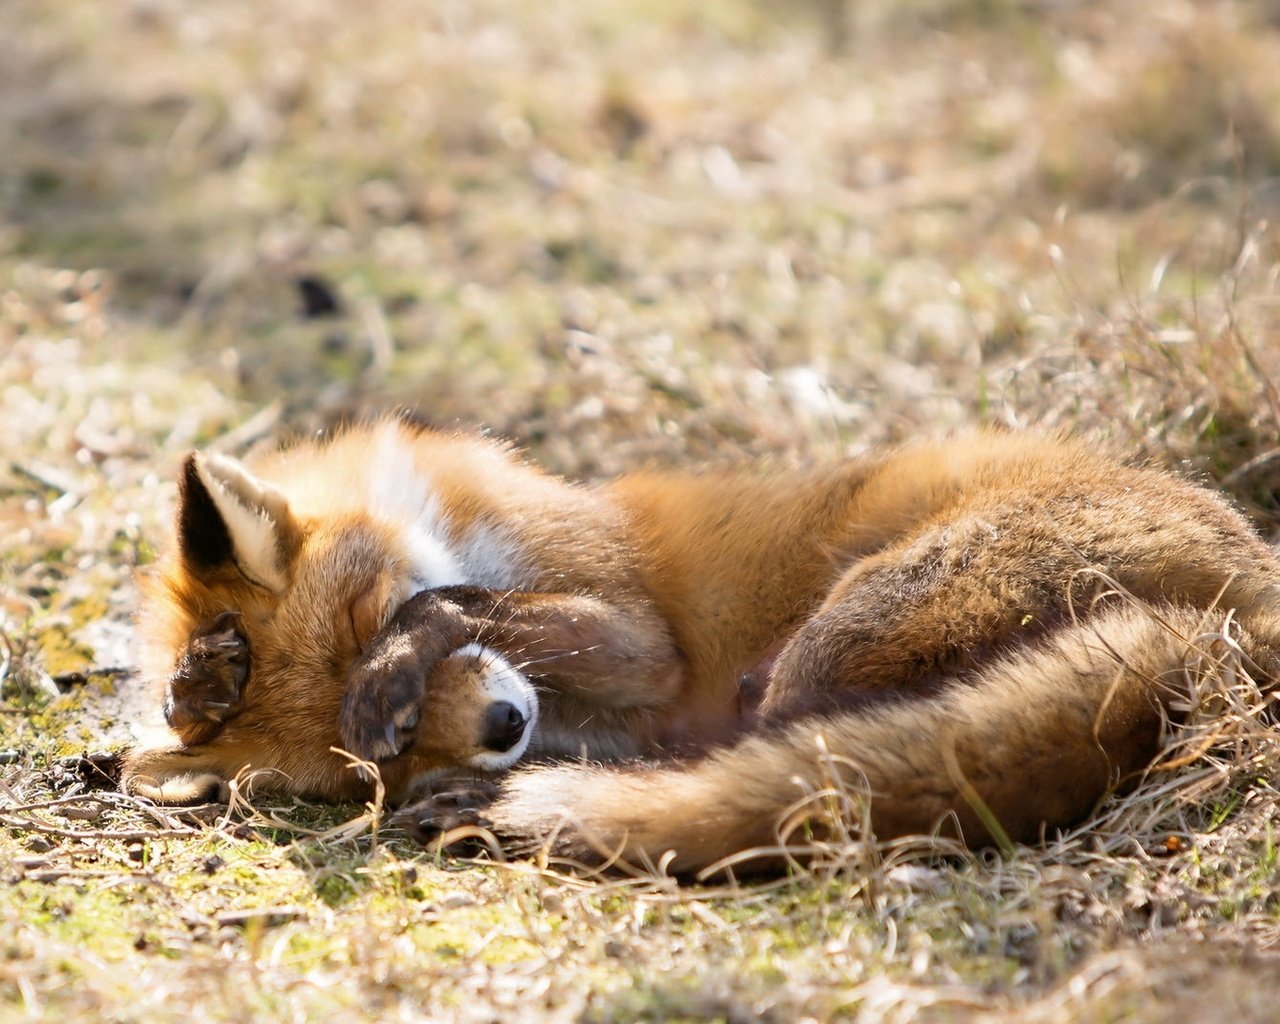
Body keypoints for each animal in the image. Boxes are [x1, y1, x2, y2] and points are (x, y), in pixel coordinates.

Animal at [122, 412, 1280, 875]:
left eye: (366, 623)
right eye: (380, 762)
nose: (500, 726)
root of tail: (1239, 611)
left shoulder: (636, 631)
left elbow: (447, 600)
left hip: (840, 634)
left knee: (792, 762)